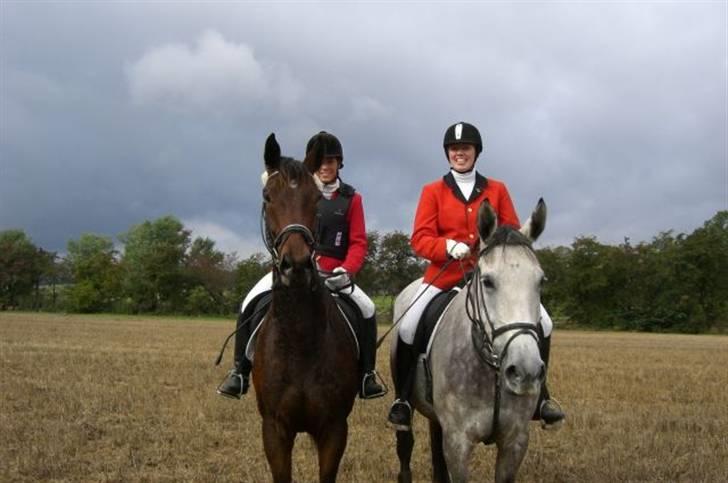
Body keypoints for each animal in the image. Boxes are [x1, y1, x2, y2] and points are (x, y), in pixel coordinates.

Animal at [253, 134, 362, 483]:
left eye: (315, 199)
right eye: (268, 196)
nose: (297, 266)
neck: (299, 339)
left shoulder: (334, 428)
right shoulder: (274, 429)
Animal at [390, 199, 548, 482]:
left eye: (540, 281)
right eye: (487, 281)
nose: (525, 372)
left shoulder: (515, 441)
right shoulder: (458, 442)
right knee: (405, 446)